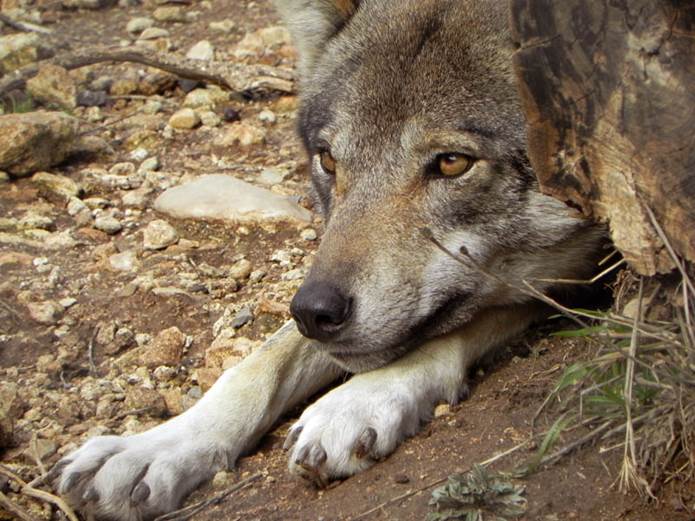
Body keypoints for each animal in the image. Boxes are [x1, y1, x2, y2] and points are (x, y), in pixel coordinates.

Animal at [54, 0, 604, 519]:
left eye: (452, 163)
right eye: (328, 160)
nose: (314, 312)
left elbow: (456, 329)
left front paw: (357, 401)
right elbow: (258, 362)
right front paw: (151, 448)